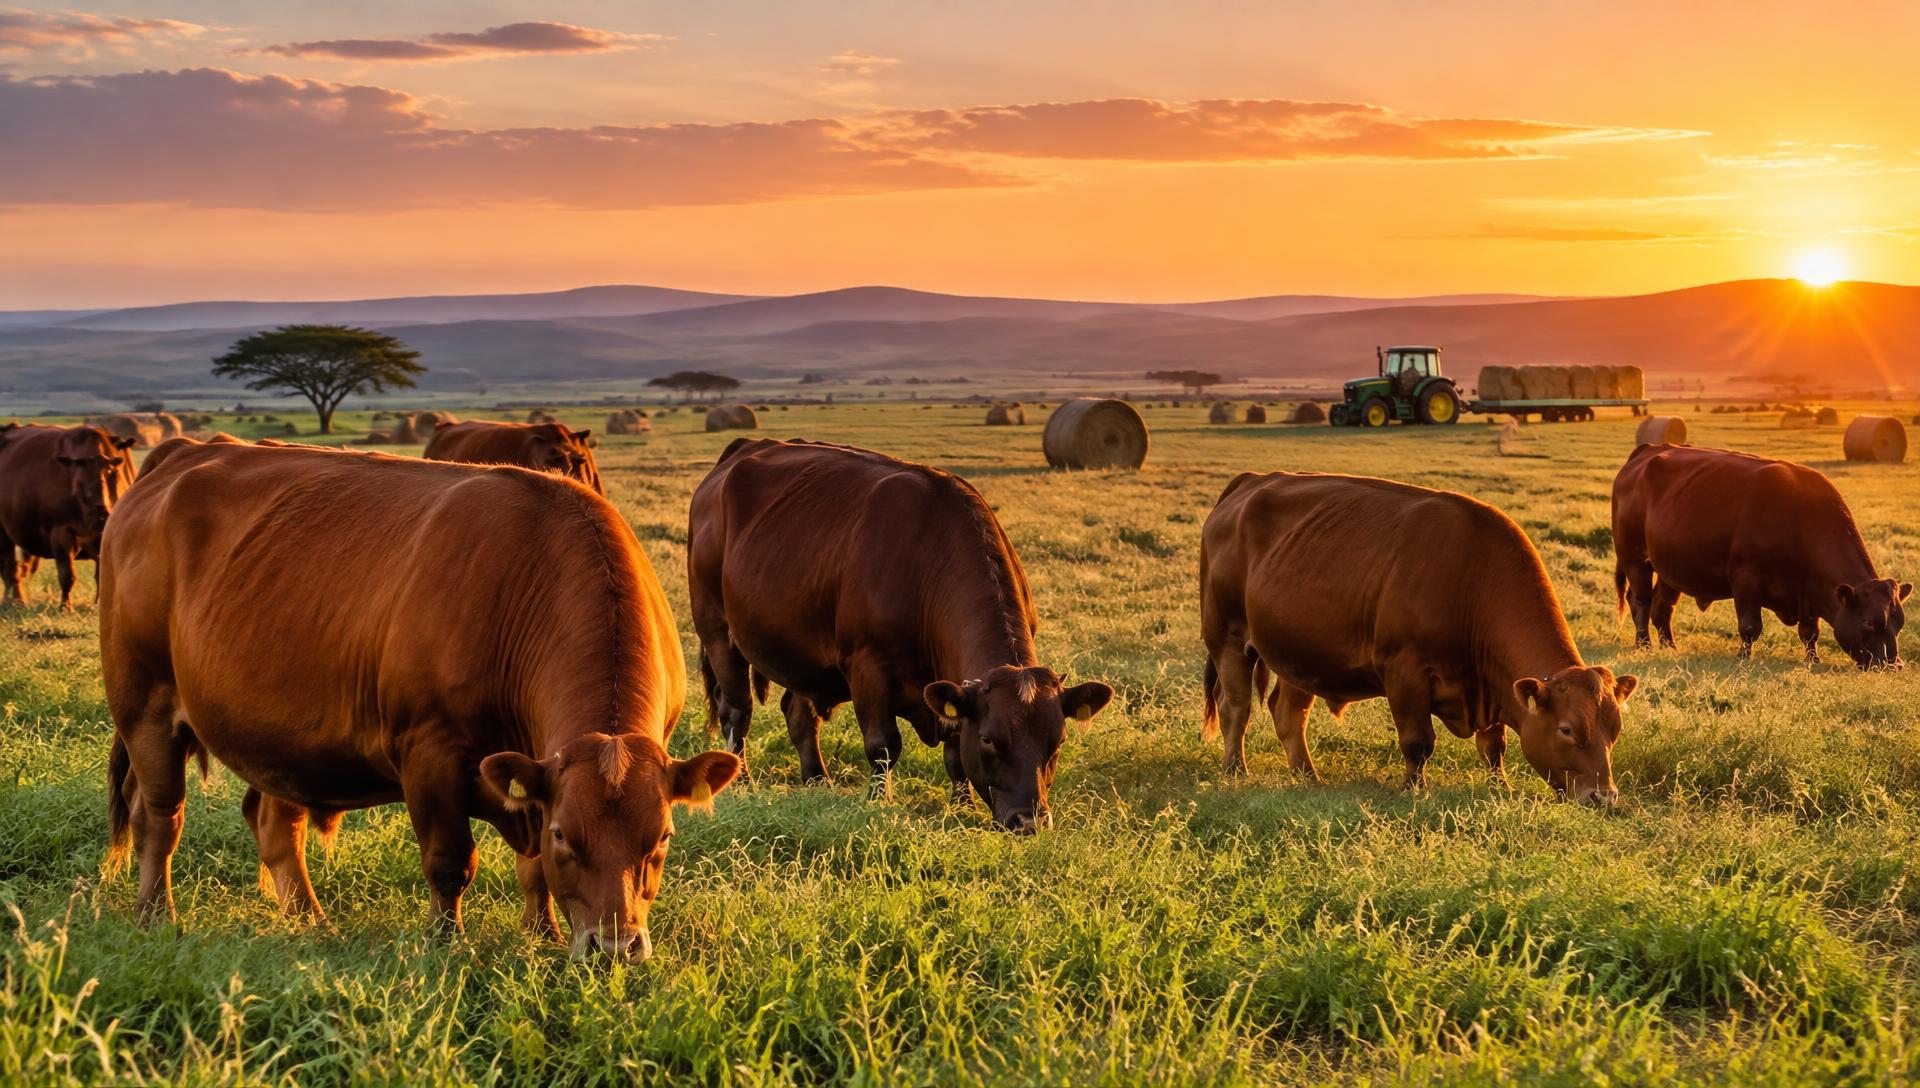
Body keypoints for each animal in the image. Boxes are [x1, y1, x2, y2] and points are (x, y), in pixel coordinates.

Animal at [0, 422, 137, 609]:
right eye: (79, 482)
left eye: (111, 472)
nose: (101, 509)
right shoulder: (61, 534)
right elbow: (67, 575)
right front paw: (65, 606)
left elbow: (102, 576)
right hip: (3, 534)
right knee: (10, 569)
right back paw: (15, 601)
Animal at [98, 437, 736, 958]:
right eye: (565, 835)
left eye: (663, 837)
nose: (614, 947)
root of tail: (181, 454)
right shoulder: (431, 755)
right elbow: (451, 862)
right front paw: (445, 942)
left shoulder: (530, 778)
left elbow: (532, 870)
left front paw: (544, 936)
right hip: (144, 705)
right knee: (159, 816)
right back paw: (155, 916)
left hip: (280, 742)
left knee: (276, 823)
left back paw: (312, 922)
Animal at [688, 439, 1114, 832]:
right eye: (990, 739)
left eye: (1058, 741)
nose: (1029, 821)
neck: (930, 561)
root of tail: (742, 449)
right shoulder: (868, 666)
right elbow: (883, 746)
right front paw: (879, 802)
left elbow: (955, 752)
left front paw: (963, 806)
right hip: (717, 630)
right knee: (736, 712)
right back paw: (742, 780)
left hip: (802, 656)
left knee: (799, 714)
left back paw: (817, 780)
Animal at [1200, 471, 1637, 804]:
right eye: (1567, 730)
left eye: (1614, 729)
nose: (1603, 797)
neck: (1472, 578)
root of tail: (1250, 481)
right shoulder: (1404, 673)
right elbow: (1418, 741)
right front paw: (1415, 788)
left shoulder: (1490, 689)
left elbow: (1493, 746)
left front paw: (1502, 788)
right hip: (1228, 639)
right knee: (1235, 706)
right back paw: (1235, 769)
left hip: (1300, 656)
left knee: (1288, 713)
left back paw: (1308, 777)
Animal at [1612, 444, 1908, 668]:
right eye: (1868, 621)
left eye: (1899, 623)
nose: (1893, 665)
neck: (1799, 520)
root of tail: (1648, 449)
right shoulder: (1746, 581)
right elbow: (1750, 627)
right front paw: (1743, 657)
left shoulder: (1809, 592)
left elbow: (1809, 633)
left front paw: (1812, 660)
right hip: (1635, 560)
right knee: (1640, 601)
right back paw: (1644, 645)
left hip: (1670, 570)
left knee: (1663, 608)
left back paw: (1670, 647)